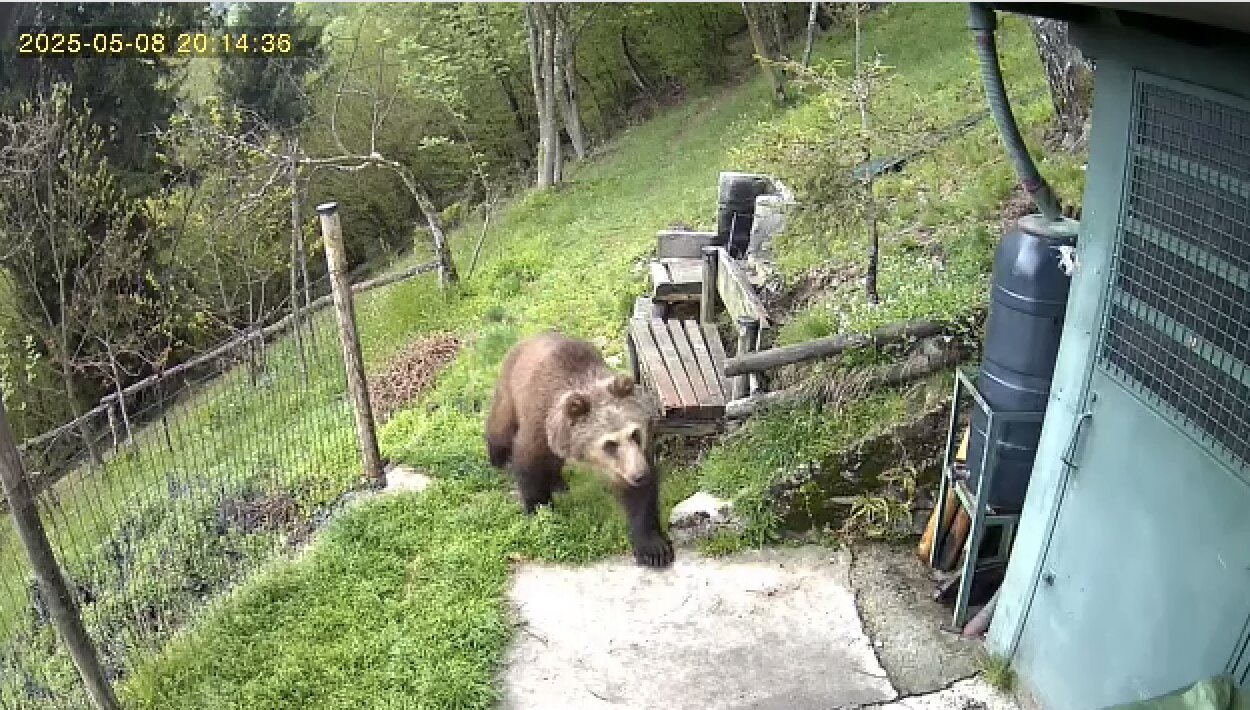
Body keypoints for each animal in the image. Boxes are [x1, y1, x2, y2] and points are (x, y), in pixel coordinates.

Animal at [484, 331, 674, 568]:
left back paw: (558, 482)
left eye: (635, 434)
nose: (639, 475)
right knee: (500, 423)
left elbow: (640, 500)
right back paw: (498, 458)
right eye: (609, 444)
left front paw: (654, 548)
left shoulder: (633, 455)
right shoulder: (539, 422)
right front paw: (540, 511)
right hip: (510, 387)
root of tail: (531, 337)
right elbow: (529, 464)